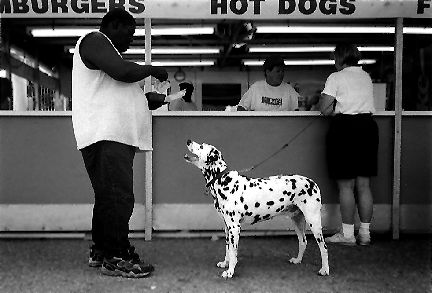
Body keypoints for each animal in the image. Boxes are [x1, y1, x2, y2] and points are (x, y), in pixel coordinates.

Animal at [184, 139, 330, 276]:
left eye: (201, 146)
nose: (188, 141)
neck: (224, 181)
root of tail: (313, 183)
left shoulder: (234, 227)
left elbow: (233, 252)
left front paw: (230, 272)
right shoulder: (227, 227)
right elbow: (227, 248)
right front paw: (225, 263)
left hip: (313, 221)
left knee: (324, 247)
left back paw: (324, 269)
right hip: (297, 220)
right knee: (303, 241)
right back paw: (298, 260)